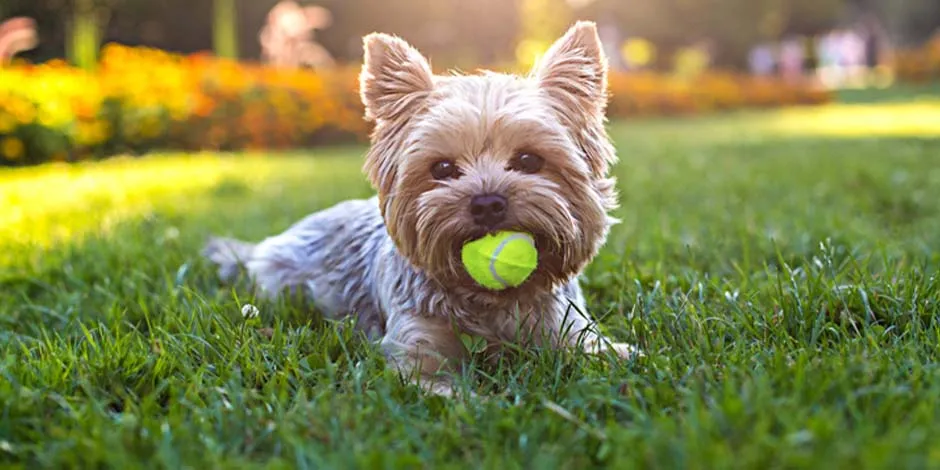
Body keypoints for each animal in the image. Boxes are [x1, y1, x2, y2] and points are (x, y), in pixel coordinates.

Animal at [202, 22, 636, 396]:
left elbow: (602, 352)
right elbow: (440, 389)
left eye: (529, 160)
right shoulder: (417, 350)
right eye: (442, 168)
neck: (489, 300)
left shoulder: (566, 327)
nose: (487, 201)